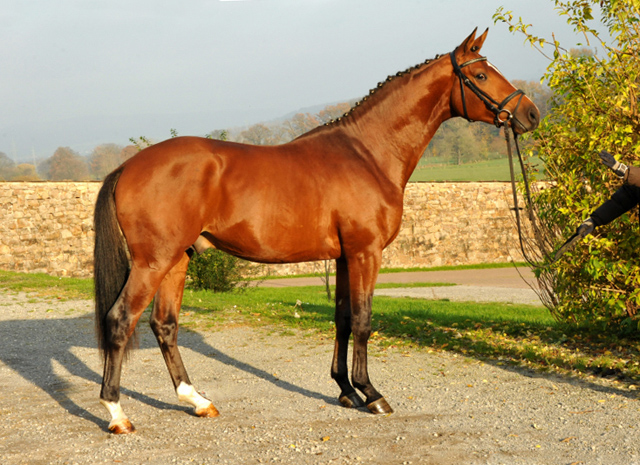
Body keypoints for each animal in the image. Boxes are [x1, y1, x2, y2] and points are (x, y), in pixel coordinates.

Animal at [92, 28, 536, 436]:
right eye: (480, 74)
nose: (530, 114)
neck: (368, 153)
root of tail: (127, 167)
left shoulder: (342, 257)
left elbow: (342, 318)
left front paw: (345, 390)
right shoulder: (365, 252)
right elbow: (363, 320)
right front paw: (371, 394)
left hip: (177, 260)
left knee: (164, 325)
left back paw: (198, 401)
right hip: (153, 262)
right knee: (120, 320)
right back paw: (117, 414)